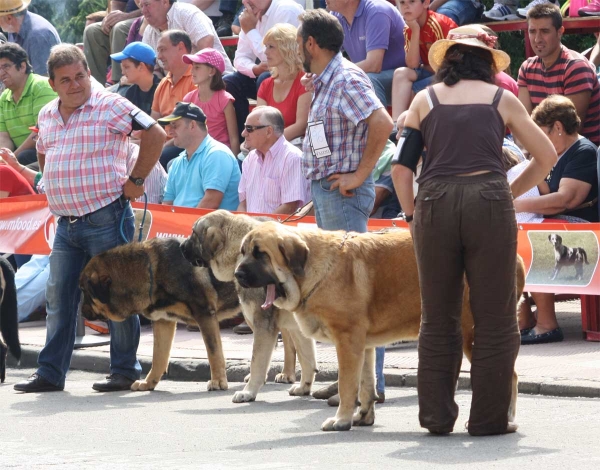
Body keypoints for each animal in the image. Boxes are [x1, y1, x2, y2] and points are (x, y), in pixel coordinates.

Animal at [80, 237, 241, 392]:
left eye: (84, 291)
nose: (81, 312)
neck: (150, 271)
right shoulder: (163, 321)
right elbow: (159, 357)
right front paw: (148, 383)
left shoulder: (205, 315)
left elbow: (214, 353)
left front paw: (218, 381)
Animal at [179, 211, 316, 402]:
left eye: (194, 233)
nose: (180, 246)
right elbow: (307, 358)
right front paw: (304, 387)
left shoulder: (264, 324)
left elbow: (256, 361)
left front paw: (249, 391)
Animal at [234, 222, 524, 432]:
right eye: (243, 252)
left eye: (261, 255)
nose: (237, 274)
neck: (314, 270)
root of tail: (518, 258)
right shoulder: (363, 345)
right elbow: (366, 384)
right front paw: (362, 416)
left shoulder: (347, 342)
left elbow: (347, 385)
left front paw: (341, 420)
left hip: (472, 334)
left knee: (509, 375)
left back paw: (506, 420)